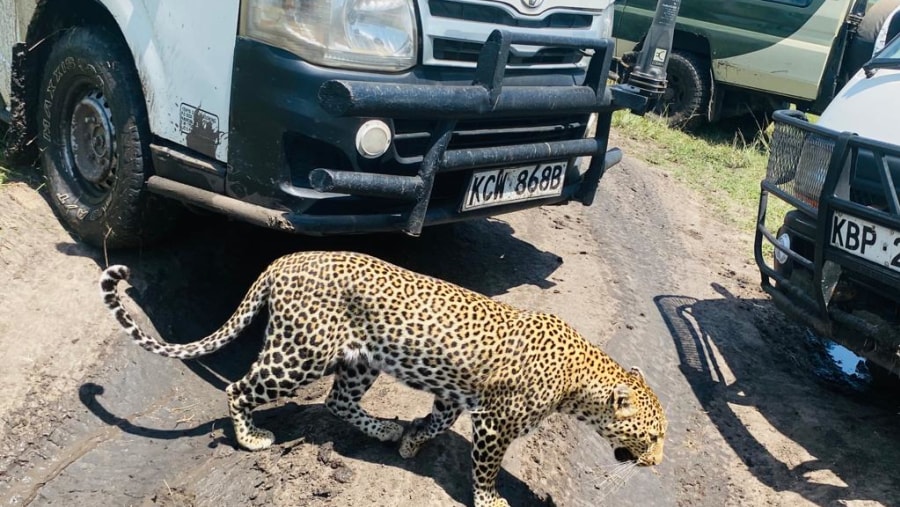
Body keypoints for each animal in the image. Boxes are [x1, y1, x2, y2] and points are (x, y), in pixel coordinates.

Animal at [100, 250, 668, 507]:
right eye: (652, 435)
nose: (658, 463)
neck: (581, 378)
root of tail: (286, 258)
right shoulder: (494, 424)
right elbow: (485, 469)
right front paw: (489, 500)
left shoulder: (455, 398)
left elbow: (436, 422)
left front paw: (412, 443)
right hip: (299, 353)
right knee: (240, 387)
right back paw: (252, 437)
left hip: (360, 360)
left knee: (338, 402)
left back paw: (386, 429)